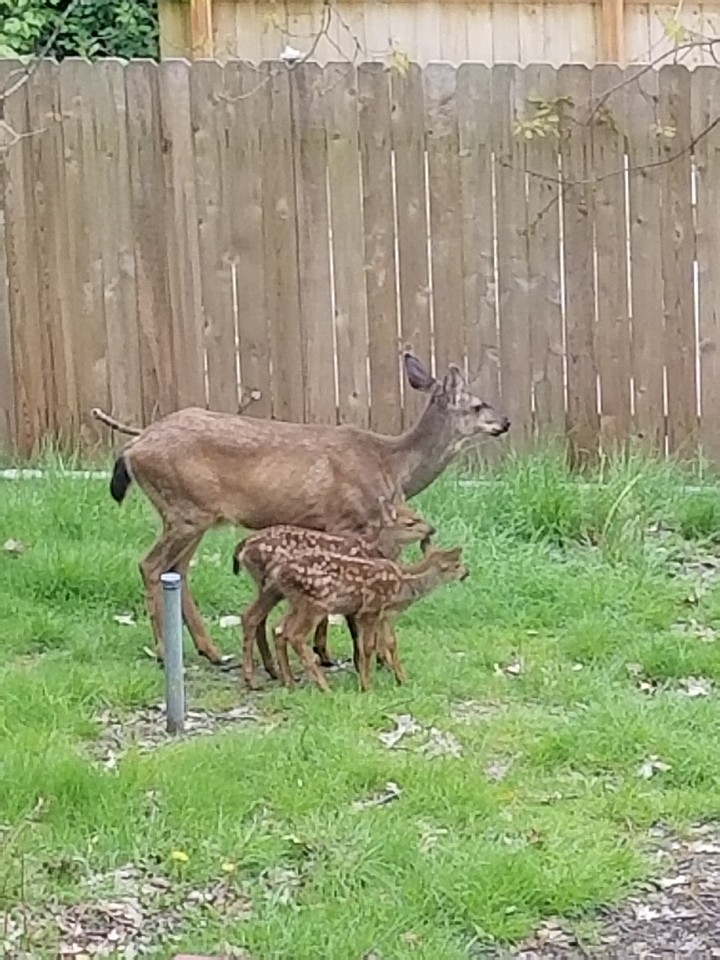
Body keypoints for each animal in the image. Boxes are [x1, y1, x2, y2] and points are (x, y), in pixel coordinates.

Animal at [93, 350, 509, 668]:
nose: (504, 421)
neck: (391, 465)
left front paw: (324, 652)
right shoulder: (344, 522)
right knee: (151, 565)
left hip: (194, 515)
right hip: (185, 510)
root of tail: (132, 448)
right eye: (477, 404)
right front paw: (341, 654)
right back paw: (165, 653)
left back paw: (211, 652)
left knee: (176, 570)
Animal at [231, 496, 435, 688]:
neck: (372, 548)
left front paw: (383, 665)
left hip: (271, 588)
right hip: (271, 585)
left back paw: (273, 673)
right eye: (411, 522)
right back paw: (254, 679)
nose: (432, 529)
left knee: (256, 617)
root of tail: (243, 546)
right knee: (253, 617)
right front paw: (366, 667)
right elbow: (358, 634)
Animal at [246, 544, 468, 692]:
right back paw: (324, 688)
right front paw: (367, 685)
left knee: (279, 629)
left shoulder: (385, 615)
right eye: (457, 564)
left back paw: (290, 683)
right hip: (316, 605)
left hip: (295, 603)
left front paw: (402, 680)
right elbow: (368, 647)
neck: (403, 583)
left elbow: (391, 643)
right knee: (295, 635)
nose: (467, 572)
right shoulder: (370, 610)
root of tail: (279, 571)